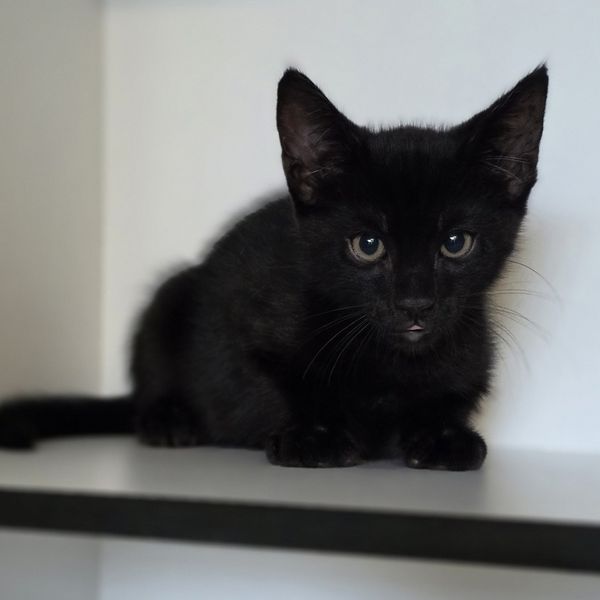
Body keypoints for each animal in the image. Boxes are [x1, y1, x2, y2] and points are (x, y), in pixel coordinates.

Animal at [0, 66, 548, 470]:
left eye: (456, 243)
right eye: (367, 245)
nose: (415, 303)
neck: (389, 361)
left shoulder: (472, 359)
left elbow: (449, 398)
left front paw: (442, 435)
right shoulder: (239, 322)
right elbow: (272, 385)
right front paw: (315, 434)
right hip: (171, 296)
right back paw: (168, 419)